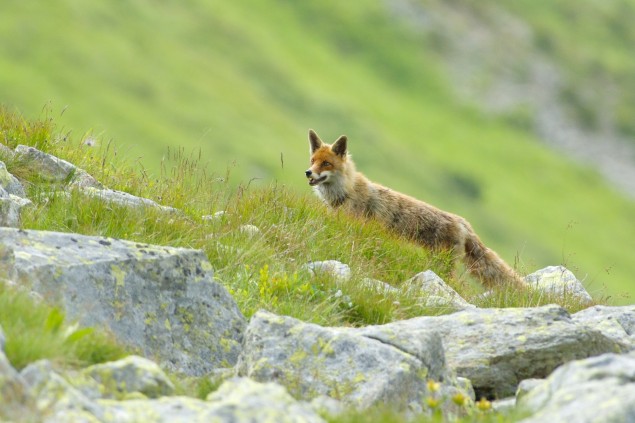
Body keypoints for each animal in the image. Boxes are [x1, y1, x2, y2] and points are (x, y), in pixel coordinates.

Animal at [306, 129, 524, 288]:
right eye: (313, 161)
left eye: (326, 163)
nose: (308, 172)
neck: (345, 192)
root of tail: (463, 221)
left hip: (441, 264)